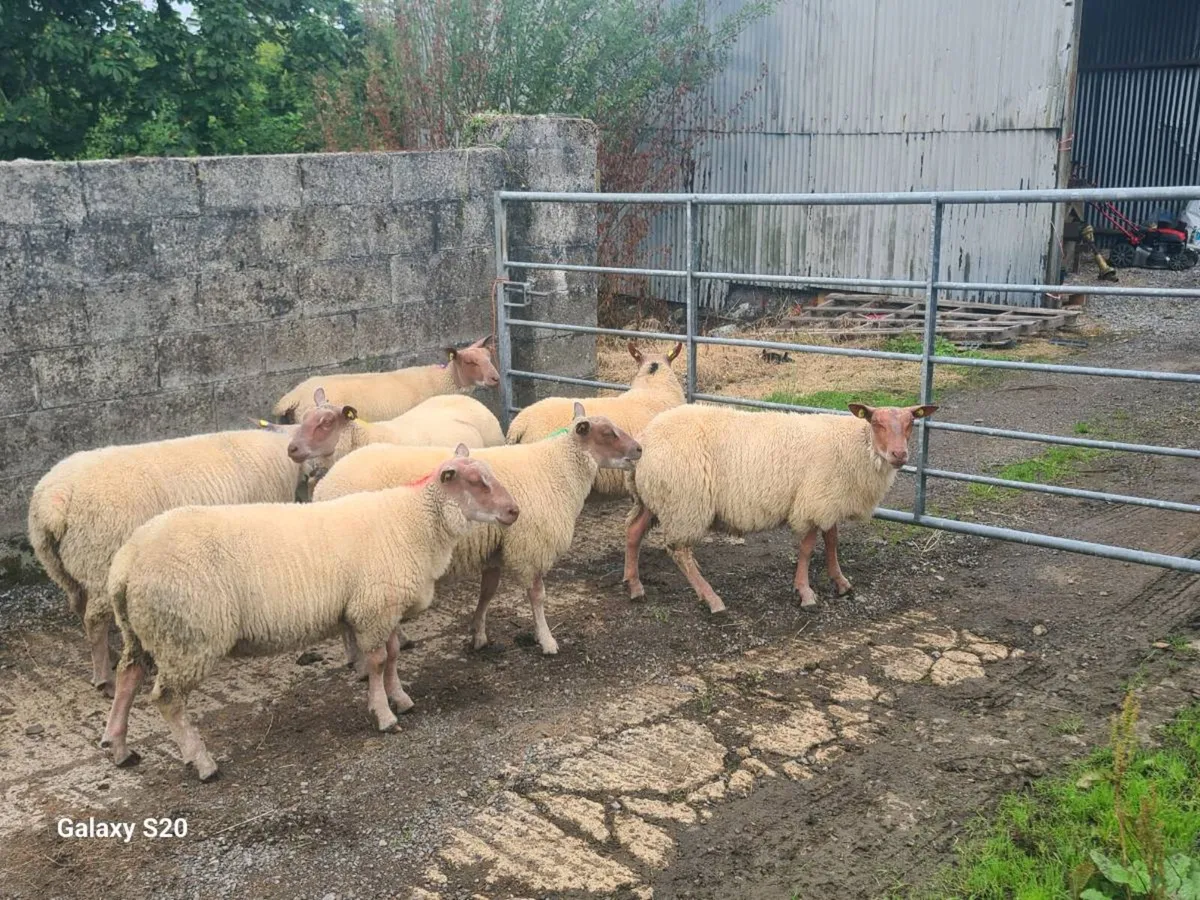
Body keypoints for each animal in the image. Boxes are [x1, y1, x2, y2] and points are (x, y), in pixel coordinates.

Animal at [100, 447, 519, 781]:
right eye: (477, 481)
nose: (514, 511)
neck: (416, 521)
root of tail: (127, 562)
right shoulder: (374, 608)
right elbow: (378, 662)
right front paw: (384, 714)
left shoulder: (383, 608)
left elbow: (393, 656)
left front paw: (399, 697)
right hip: (188, 636)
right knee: (167, 699)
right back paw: (202, 762)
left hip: (143, 631)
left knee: (127, 677)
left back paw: (120, 748)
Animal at [313, 403, 642, 656]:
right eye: (608, 433)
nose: (639, 449)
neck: (556, 468)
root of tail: (323, 486)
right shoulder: (530, 546)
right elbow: (537, 597)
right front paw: (547, 640)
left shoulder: (496, 548)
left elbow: (487, 594)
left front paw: (479, 635)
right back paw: (355, 657)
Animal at [623, 402, 938, 613]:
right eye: (876, 423)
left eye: (910, 423)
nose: (899, 454)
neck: (857, 447)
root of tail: (646, 438)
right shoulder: (812, 502)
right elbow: (808, 549)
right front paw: (805, 592)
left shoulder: (828, 501)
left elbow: (832, 541)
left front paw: (840, 582)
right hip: (685, 501)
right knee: (679, 551)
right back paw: (711, 599)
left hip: (654, 497)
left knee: (634, 532)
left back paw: (634, 585)